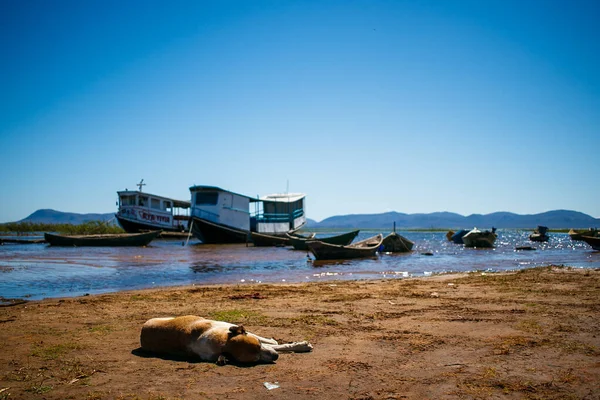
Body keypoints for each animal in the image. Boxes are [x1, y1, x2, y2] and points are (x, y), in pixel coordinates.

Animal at [139, 316, 312, 366]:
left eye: (259, 345)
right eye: (255, 359)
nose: (276, 357)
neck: (221, 342)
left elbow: (271, 343)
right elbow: (276, 345)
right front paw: (300, 346)